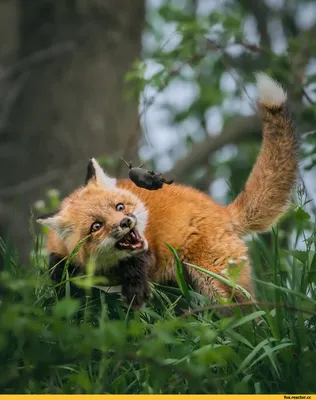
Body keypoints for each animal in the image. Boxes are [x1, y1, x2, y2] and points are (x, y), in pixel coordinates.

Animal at [37, 73, 298, 308]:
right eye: (96, 226)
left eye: (120, 207)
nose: (125, 222)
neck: (106, 270)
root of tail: (221, 210)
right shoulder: (61, 263)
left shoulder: (145, 252)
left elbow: (136, 274)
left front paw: (135, 297)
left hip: (214, 281)